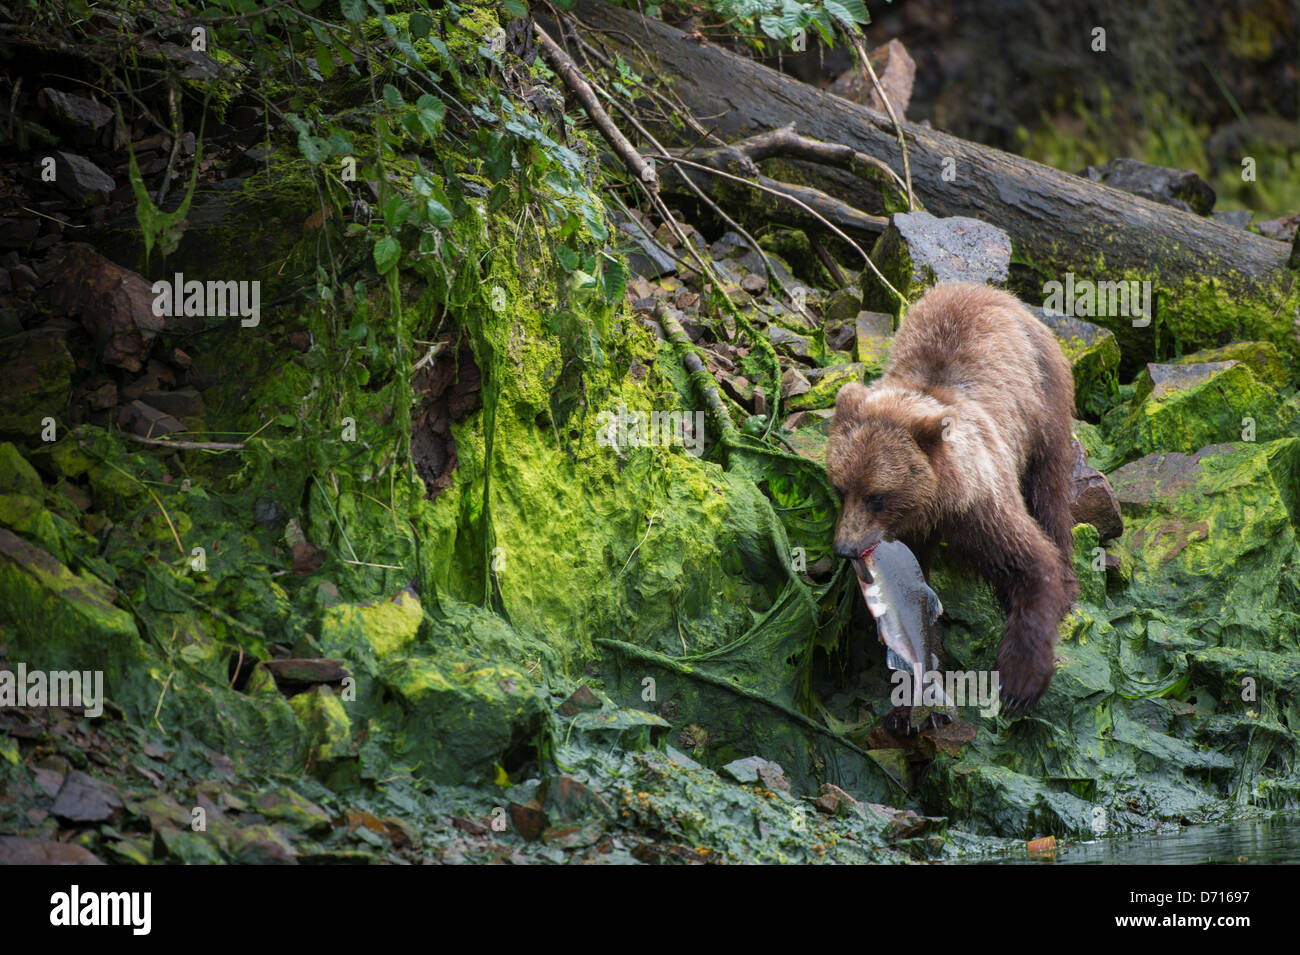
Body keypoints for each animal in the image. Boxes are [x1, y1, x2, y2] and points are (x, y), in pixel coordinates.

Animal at [825, 282, 1078, 711]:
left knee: (1050, 489)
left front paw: (1018, 682)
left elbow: (1029, 562)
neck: (936, 504)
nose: (845, 548)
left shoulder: (981, 503)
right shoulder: (913, 534)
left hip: (1044, 399)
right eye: (840, 487)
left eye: (877, 495)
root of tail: (995, 292)